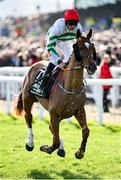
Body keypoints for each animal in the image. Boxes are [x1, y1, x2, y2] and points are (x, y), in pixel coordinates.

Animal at [13, 28, 96, 160]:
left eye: (92, 47)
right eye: (79, 47)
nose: (93, 67)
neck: (71, 87)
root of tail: (34, 65)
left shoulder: (79, 110)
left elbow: (86, 131)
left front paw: (80, 152)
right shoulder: (53, 112)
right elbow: (55, 141)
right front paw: (46, 148)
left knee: (51, 127)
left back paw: (61, 149)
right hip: (28, 99)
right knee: (29, 117)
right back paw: (30, 143)